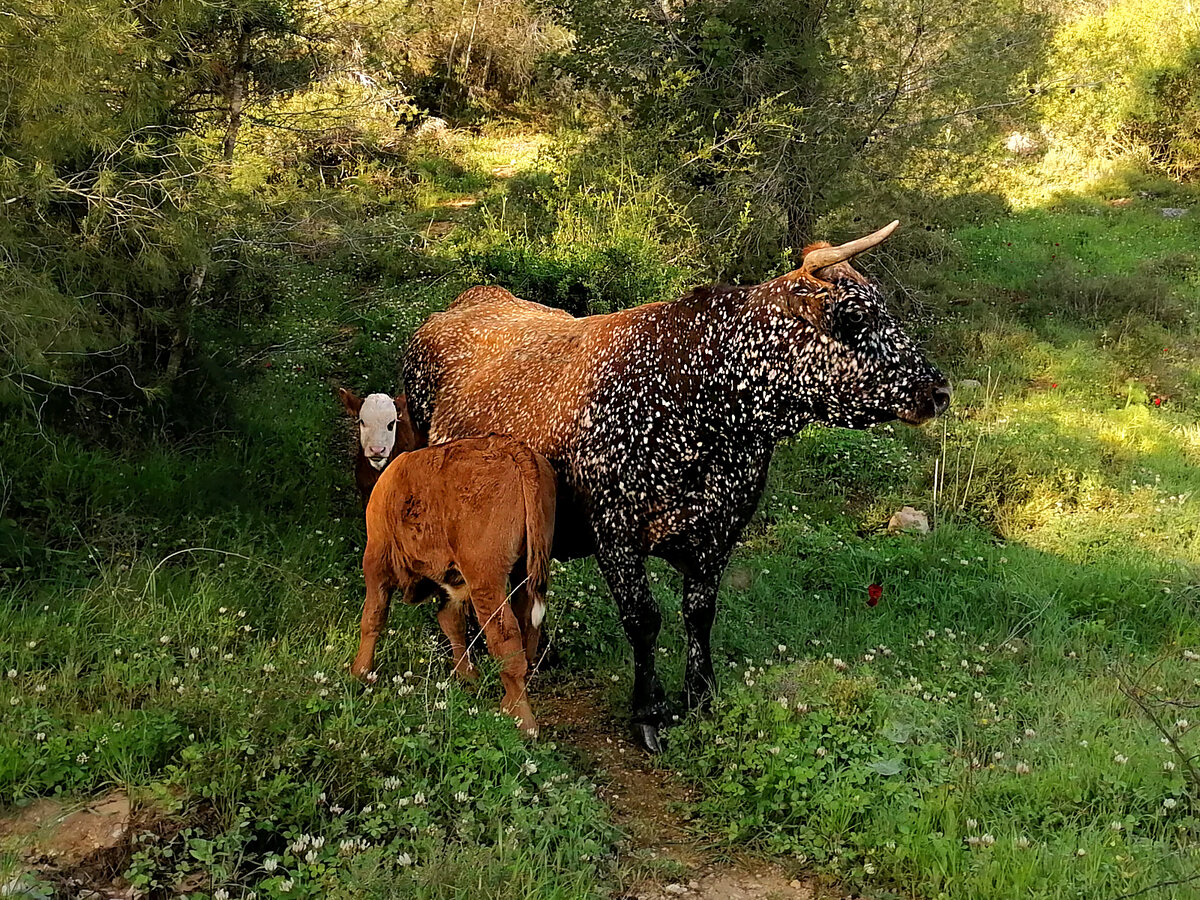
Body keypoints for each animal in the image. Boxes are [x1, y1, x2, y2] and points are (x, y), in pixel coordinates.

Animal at [350, 436, 556, 739]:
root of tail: (506, 446)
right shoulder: (454, 583)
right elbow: (452, 622)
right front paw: (467, 675)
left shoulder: (376, 560)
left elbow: (373, 617)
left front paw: (360, 671)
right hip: (524, 571)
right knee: (527, 629)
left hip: (486, 580)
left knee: (505, 639)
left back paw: (521, 719)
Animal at [408, 222, 950, 748]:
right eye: (856, 317)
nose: (939, 389)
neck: (703, 400)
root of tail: (471, 298)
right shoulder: (617, 533)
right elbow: (645, 620)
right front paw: (648, 712)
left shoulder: (720, 531)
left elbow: (699, 613)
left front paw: (701, 696)